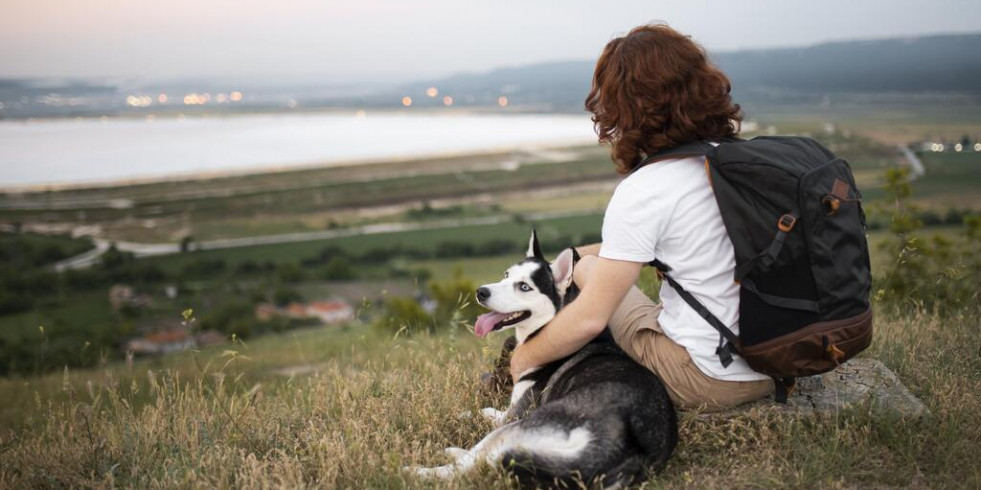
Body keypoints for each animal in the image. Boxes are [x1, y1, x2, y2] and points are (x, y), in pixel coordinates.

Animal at [404, 232, 672, 488]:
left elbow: (490, 413)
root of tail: (617, 445)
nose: (481, 292)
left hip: (522, 427)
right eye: (506, 275)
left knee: (469, 464)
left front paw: (468, 415)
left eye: (524, 287)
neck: (551, 324)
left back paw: (423, 469)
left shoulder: (515, 414)